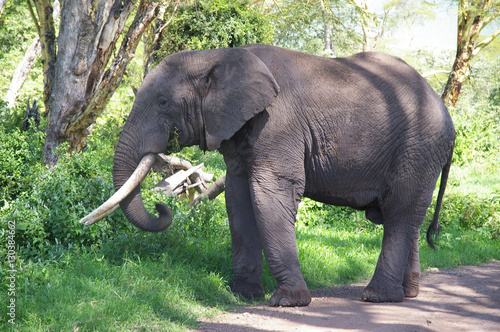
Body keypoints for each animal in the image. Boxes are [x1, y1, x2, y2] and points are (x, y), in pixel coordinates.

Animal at [81, 43, 454, 306]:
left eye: (162, 102)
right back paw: (408, 294)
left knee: (399, 211)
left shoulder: (277, 124)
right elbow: (238, 197)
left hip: (417, 148)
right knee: (406, 216)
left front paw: (287, 302)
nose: (163, 207)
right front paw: (243, 295)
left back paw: (377, 297)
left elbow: (270, 193)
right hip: (420, 153)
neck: (216, 56)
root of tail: (446, 112)